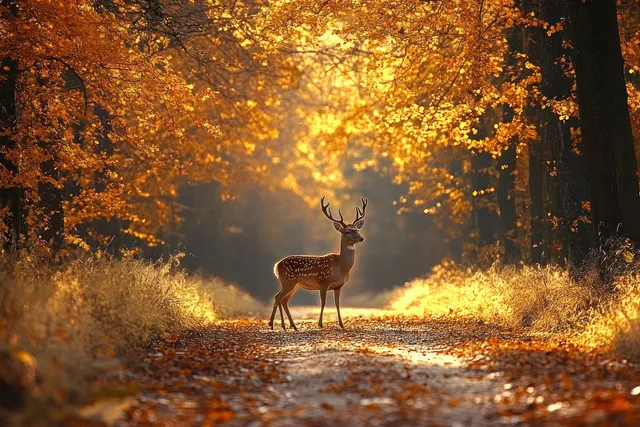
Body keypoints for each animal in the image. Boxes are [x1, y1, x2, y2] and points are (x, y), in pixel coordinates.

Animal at [269, 196, 368, 331]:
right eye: (347, 231)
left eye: (357, 229)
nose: (361, 238)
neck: (341, 267)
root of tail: (276, 265)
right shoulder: (323, 281)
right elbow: (323, 302)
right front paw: (320, 324)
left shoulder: (338, 285)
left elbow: (337, 304)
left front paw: (342, 324)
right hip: (287, 281)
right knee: (278, 297)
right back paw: (281, 326)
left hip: (295, 285)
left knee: (283, 300)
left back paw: (289, 326)